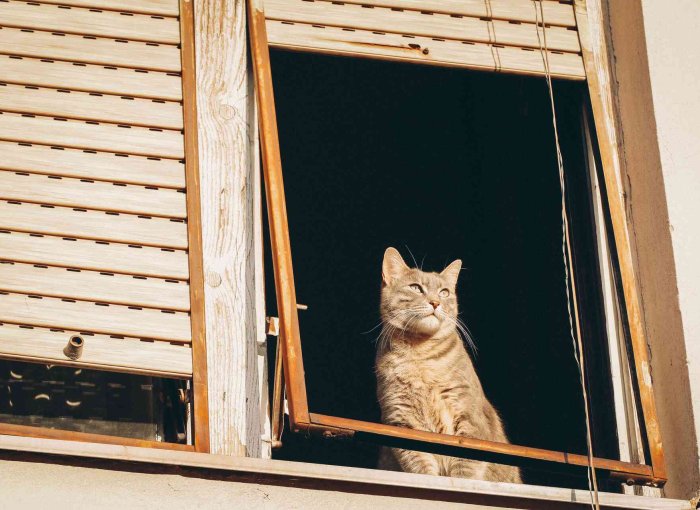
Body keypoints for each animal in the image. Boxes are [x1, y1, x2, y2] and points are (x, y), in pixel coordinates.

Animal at [374, 249, 524, 484]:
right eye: (416, 287)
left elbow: (465, 471)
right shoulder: (403, 421)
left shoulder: (469, 420)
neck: (420, 357)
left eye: (444, 292)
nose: (436, 302)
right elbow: (422, 469)